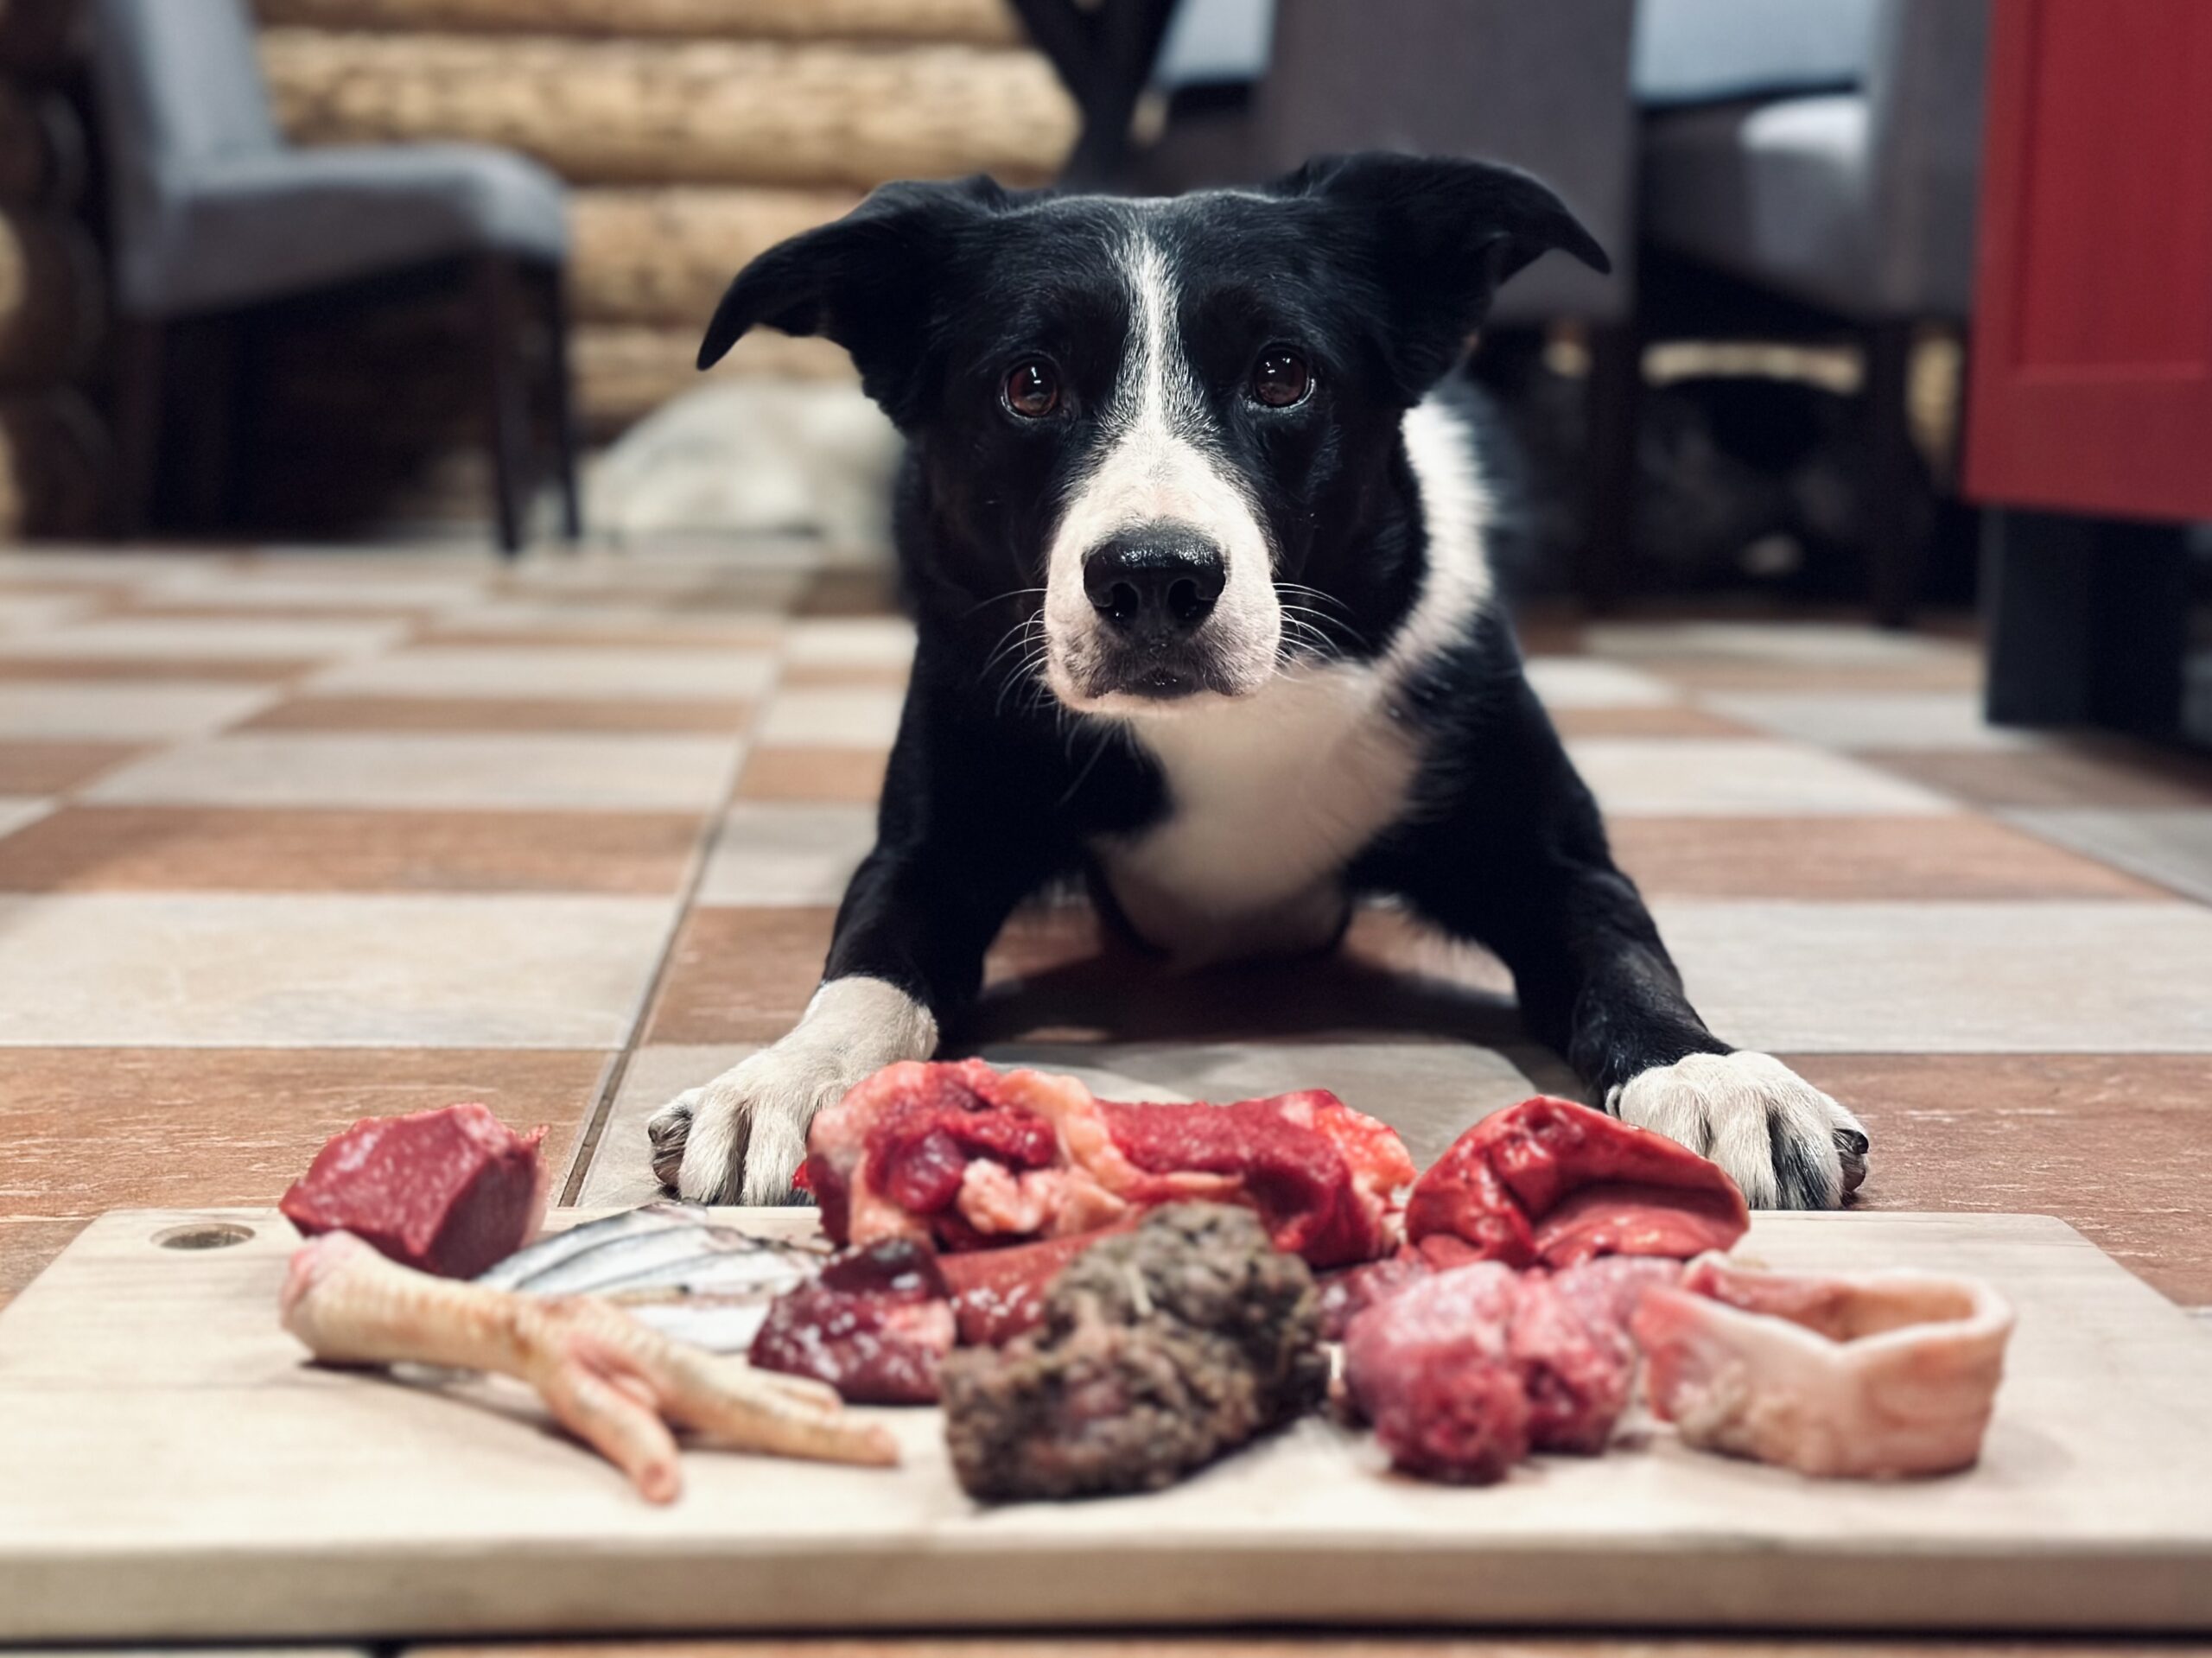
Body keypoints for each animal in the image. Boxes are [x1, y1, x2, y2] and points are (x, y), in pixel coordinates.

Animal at [650, 156, 1866, 1211]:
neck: (1234, 716)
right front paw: (785, 1075)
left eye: (1283, 374)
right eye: (1029, 385)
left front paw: (1712, 1074)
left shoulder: (1545, 850)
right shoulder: (935, 839)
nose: (1154, 576)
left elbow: (1626, 954)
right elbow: (868, 968)